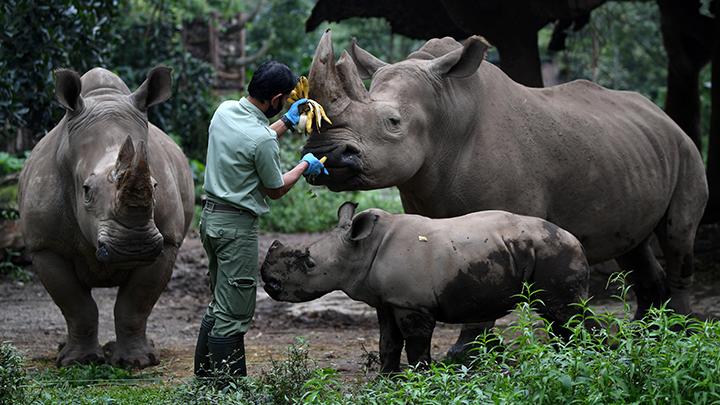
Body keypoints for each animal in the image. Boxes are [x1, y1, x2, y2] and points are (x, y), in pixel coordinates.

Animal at [262, 202, 588, 372]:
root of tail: (575, 239)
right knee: (555, 317)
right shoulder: (388, 301)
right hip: (539, 250)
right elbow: (388, 341)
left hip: (553, 251)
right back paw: (564, 361)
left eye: (308, 262)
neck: (359, 249)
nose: (268, 282)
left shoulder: (412, 303)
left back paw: (584, 358)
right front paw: (387, 380)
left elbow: (415, 344)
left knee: (565, 312)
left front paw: (422, 378)